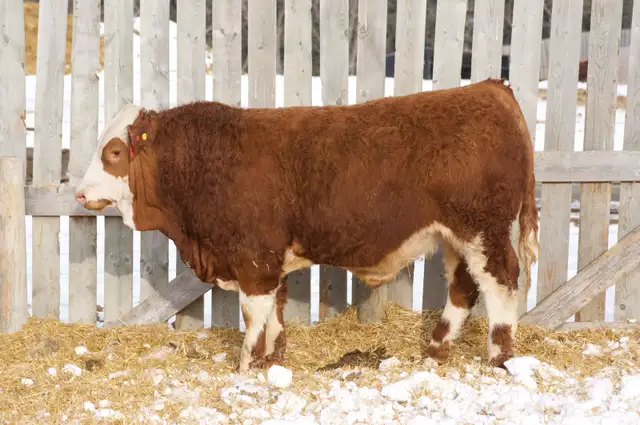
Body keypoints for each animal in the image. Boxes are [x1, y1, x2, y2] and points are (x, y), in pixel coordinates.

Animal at [74, 78, 540, 373]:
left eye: (113, 152)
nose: (79, 193)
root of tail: (490, 89)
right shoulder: (270, 259)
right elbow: (275, 313)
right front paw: (272, 360)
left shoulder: (253, 259)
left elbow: (254, 314)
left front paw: (247, 366)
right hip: (455, 237)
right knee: (463, 288)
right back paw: (434, 352)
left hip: (482, 231)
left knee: (501, 283)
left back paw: (498, 358)